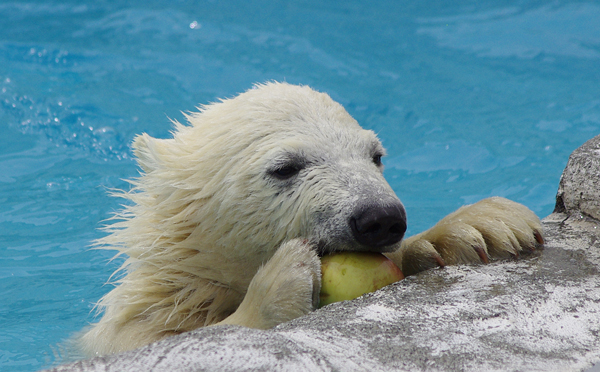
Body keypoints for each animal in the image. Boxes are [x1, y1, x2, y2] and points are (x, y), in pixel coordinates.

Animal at [78, 82, 544, 358]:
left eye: (376, 155)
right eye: (285, 167)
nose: (381, 218)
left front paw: (480, 226)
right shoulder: (137, 327)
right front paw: (284, 279)